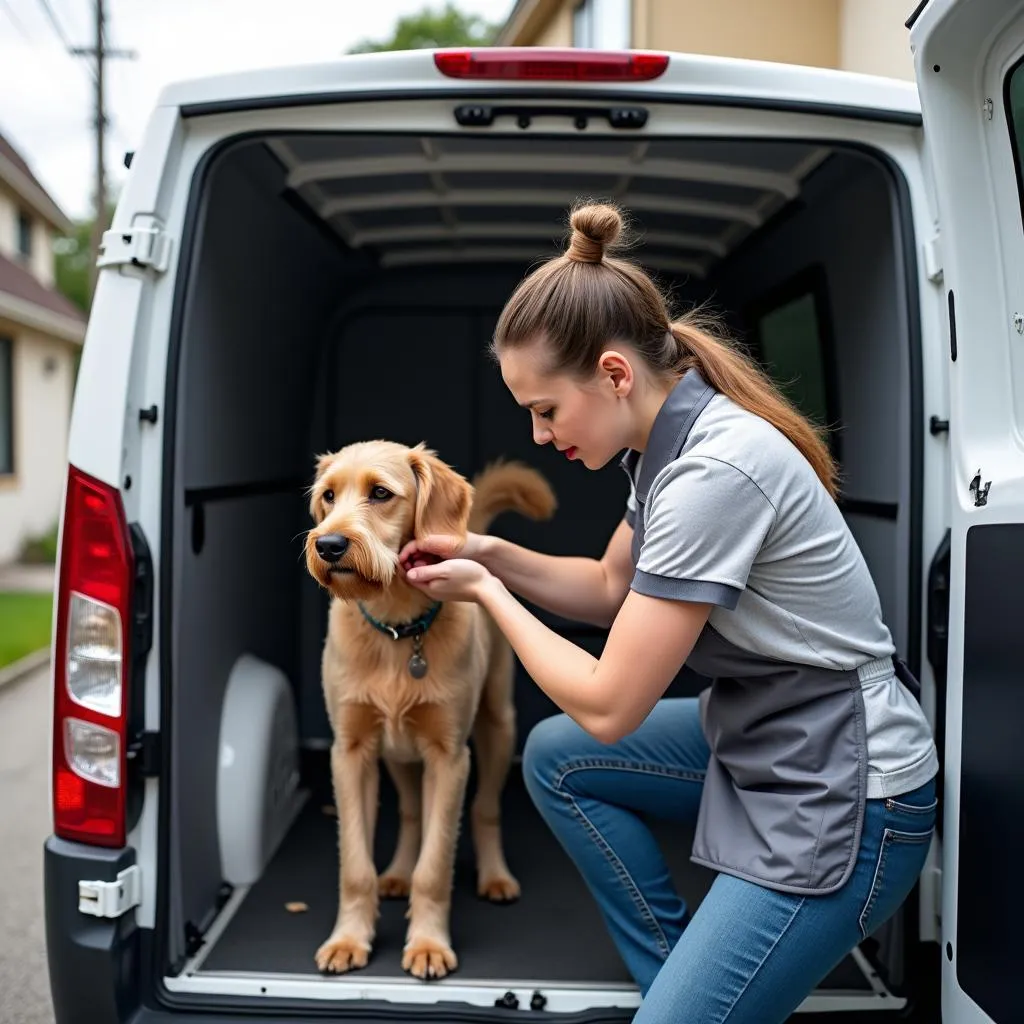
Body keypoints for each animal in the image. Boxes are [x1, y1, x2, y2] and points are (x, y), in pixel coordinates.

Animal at [303, 436, 557, 978]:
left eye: (380, 493)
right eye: (328, 496)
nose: (328, 546)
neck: (398, 632)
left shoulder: (449, 757)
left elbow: (435, 866)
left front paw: (427, 944)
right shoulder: (350, 752)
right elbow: (356, 865)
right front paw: (348, 938)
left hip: (497, 727)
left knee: (485, 809)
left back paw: (495, 876)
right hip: (398, 754)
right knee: (411, 812)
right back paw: (397, 872)